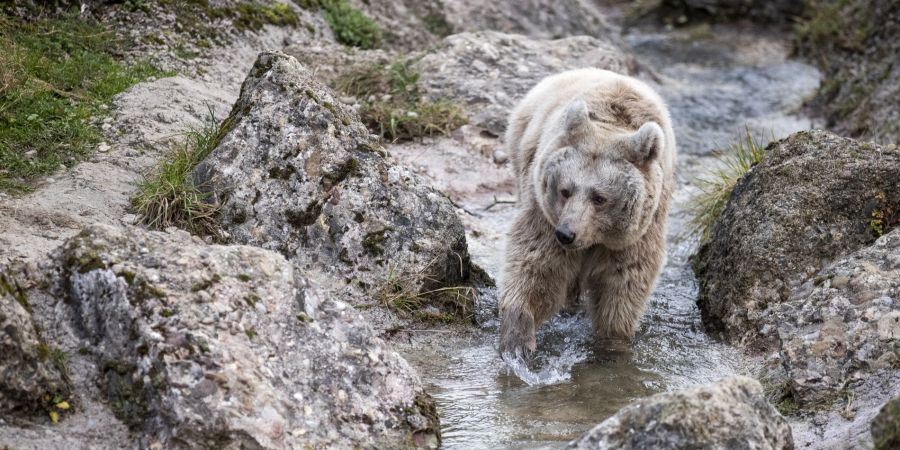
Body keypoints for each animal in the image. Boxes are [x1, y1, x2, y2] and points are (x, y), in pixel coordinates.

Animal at [499, 68, 676, 358]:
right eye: (565, 190)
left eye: (599, 197)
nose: (566, 234)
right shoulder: (545, 213)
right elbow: (538, 264)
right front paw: (518, 341)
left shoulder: (638, 232)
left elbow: (623, 284)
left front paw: (612, 344)